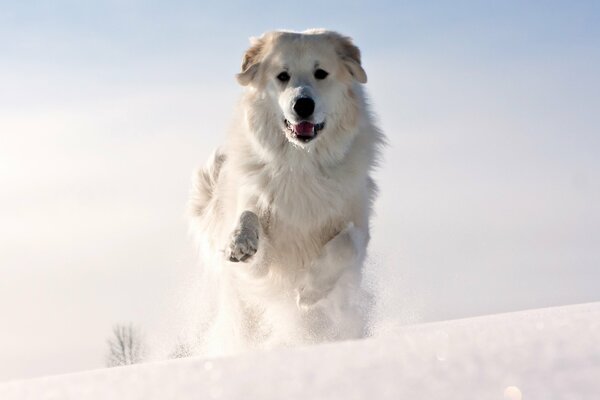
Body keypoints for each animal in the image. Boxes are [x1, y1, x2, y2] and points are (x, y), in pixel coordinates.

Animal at [188, 29, 384, 354]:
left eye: (321, 73)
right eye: (282, 76)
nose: (302, 105)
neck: (300, 164)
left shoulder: (358, 222)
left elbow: (348, 243)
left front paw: (310, 291)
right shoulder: (261, 265)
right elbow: (250, 215)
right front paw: (240, 242)